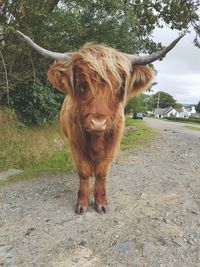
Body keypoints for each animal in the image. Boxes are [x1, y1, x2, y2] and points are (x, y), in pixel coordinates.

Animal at [16, 30, 184, 216]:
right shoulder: (75, 144)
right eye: (82, 84)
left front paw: (101, 203)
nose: (98, 122)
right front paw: (82, 203)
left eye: (120, 87)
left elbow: (102, 172)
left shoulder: (113, 145)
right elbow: (83, 172)